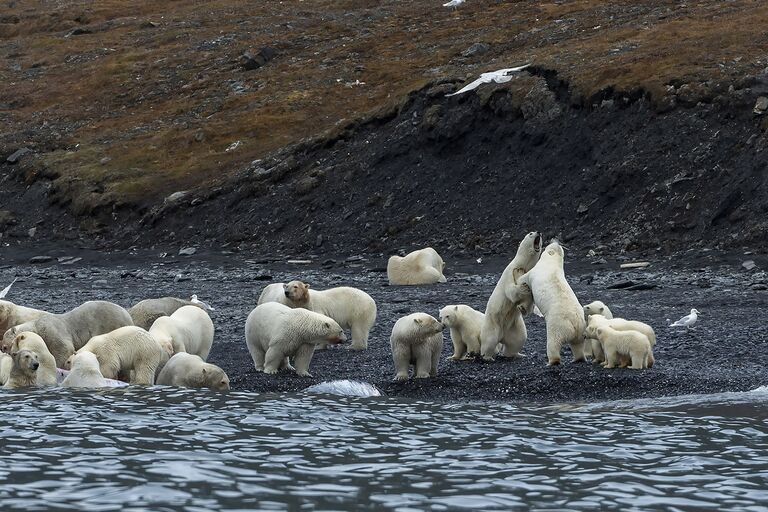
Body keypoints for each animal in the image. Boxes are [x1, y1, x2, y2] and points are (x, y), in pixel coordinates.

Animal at [1, 300, 133, 368]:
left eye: (5, 345)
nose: (2, 348)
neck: (37, 326)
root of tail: (128, 315)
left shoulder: (52, 330)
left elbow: (63, 349)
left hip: (112, 323)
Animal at [476, 232, 544, 360]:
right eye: (530, 233)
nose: (539, 232)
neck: (523, 264)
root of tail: (502, 337)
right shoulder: (510, 272)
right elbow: (510, 291)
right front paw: (523, 288)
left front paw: (524, 308)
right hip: (492, 324)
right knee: (489, 341)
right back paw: (488, 357)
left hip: (514, 327)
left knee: (518, 340)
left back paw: (518, 354)